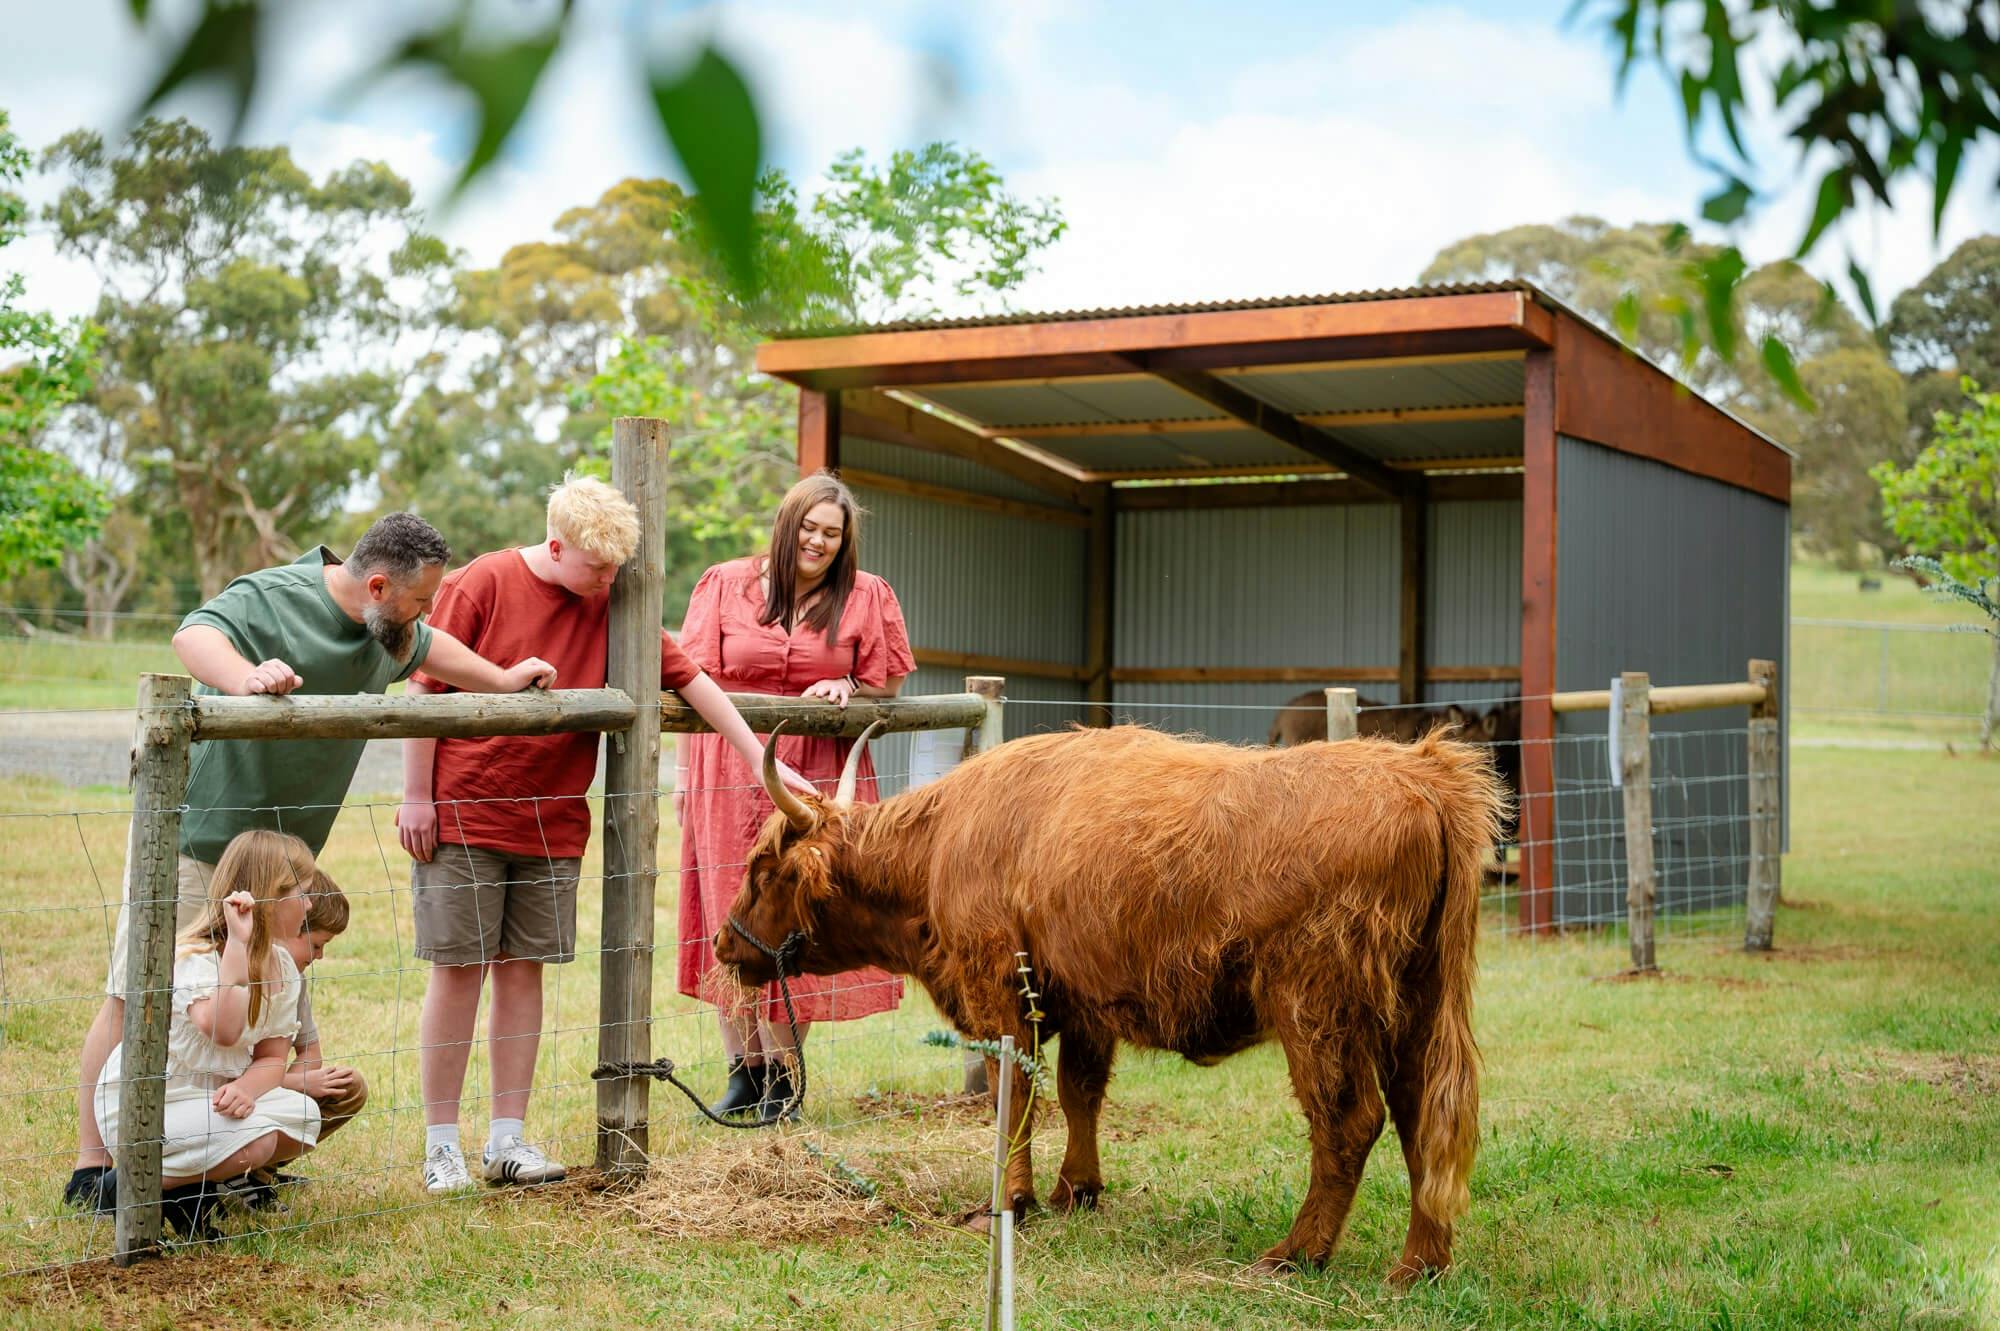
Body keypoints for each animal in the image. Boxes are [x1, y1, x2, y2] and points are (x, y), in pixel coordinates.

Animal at [714, 720, 1508, 1282]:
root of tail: (1419, 773)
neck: (939, 845)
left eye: (760, 868)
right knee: (1423, 1114)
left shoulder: (999, 988)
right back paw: (1419, 1265)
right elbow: (1079, 1093)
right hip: (1418, 1003)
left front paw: (1008, 1204)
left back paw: (1295, 1253)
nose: (723, 943)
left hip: (1319, 1003)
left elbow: (1014, 1095)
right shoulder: (1084, 1002)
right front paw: (1078, 1189)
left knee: (1350, 1121)